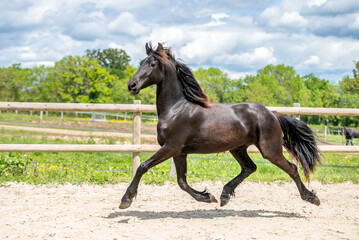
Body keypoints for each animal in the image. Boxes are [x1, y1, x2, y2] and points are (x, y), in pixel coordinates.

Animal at [119, 43, 322, 208]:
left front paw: (126, 200)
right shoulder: (179, 152)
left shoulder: (171, 147)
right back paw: (224, 195)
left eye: (152, 64)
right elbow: (181, 181)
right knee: (250, 167)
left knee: (292, 168)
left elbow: (142, 166)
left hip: (270, 150)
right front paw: (207, 197)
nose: (131, 85)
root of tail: (272, 114)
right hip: (238, 148)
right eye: (141, 63)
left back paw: (311, 198)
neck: (176, 109)